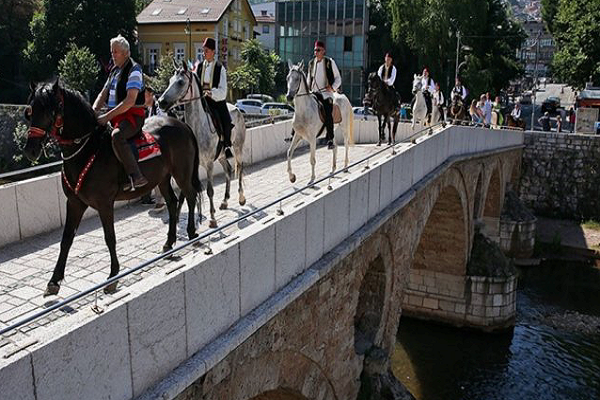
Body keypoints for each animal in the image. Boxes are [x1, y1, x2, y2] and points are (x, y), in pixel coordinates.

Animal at [24, 79, 202, 296]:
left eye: (50, 110)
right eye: (31, 111)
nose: (30, 150)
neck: (87, 149)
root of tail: (182, 124)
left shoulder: (104, 204)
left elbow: (110, 237)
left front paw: (113, 276)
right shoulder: (74, 203)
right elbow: (66, 239)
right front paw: (54, 281)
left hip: (182, 172)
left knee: (190, 196)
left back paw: (192, 232)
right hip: (162, 177)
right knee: (172, 202)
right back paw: (169, 243)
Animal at [158, 61, 247, 227]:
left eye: (180, 82)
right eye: (170, 80)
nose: (161, 102)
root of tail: (237, 108)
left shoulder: (209, 164)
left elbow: (210, 190)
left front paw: (212, 218)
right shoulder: (190, 165)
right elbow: (183, 192)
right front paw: (177, 217)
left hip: (238, 148)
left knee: (239, 168)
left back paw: (241, 198)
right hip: (221, 155)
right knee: (228, 170)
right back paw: (225, 201)